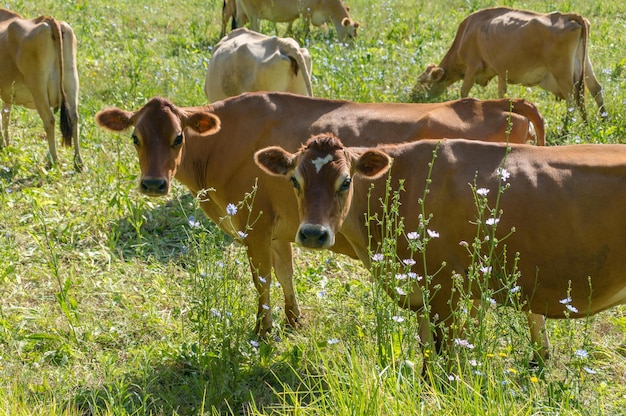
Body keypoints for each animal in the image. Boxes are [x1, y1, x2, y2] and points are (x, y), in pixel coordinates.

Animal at [0, 8, 83, 170]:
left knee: (49, 120)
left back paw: (53, 161)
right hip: (71, 81)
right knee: (74, 117)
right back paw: (78, 163)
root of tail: (49, 20)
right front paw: (6, 145)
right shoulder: (8, 93)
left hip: (37, 86)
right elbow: (5, 116)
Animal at [95, 92, 544, 338]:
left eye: (177, 137)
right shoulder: (281, 228)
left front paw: (263, 332)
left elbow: (262, 281)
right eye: (135, 138)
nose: (154, 184)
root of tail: (501, 104)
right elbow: (284, 274)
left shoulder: (254, 224)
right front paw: (294, 322)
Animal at [252, 135, 624, 366]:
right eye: (295, 181)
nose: (313, 234)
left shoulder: (445, 286)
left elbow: (443, 357)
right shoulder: (423, 292)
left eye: (345, 181)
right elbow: (427, 349)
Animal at [414, 6, 604, 120]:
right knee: (595, 89)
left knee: (572, 100)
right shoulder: (500, 71)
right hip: (585, 65)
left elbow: (464, 92)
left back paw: (567, 128)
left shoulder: (473, 66)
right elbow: (502, 93)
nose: (412, 96)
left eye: (422, 82)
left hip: (562, 71)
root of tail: (569, 15)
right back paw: (600, 121)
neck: (466, 33)